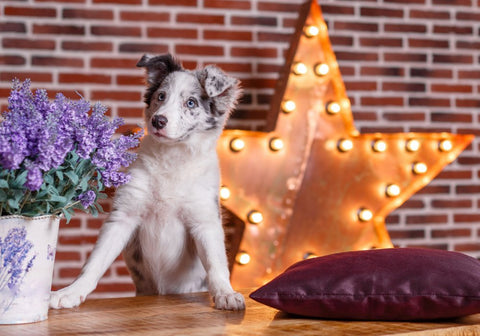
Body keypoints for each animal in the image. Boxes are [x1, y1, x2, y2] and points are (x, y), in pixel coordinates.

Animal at [50, 53, 246, 312]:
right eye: (161, 96)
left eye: (191, 103)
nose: (158, 121)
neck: (172, 159)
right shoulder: (123, 215)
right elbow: (95, 262)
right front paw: (71, 292)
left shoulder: (205, 221)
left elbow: (216, 264)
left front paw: (226, 293)